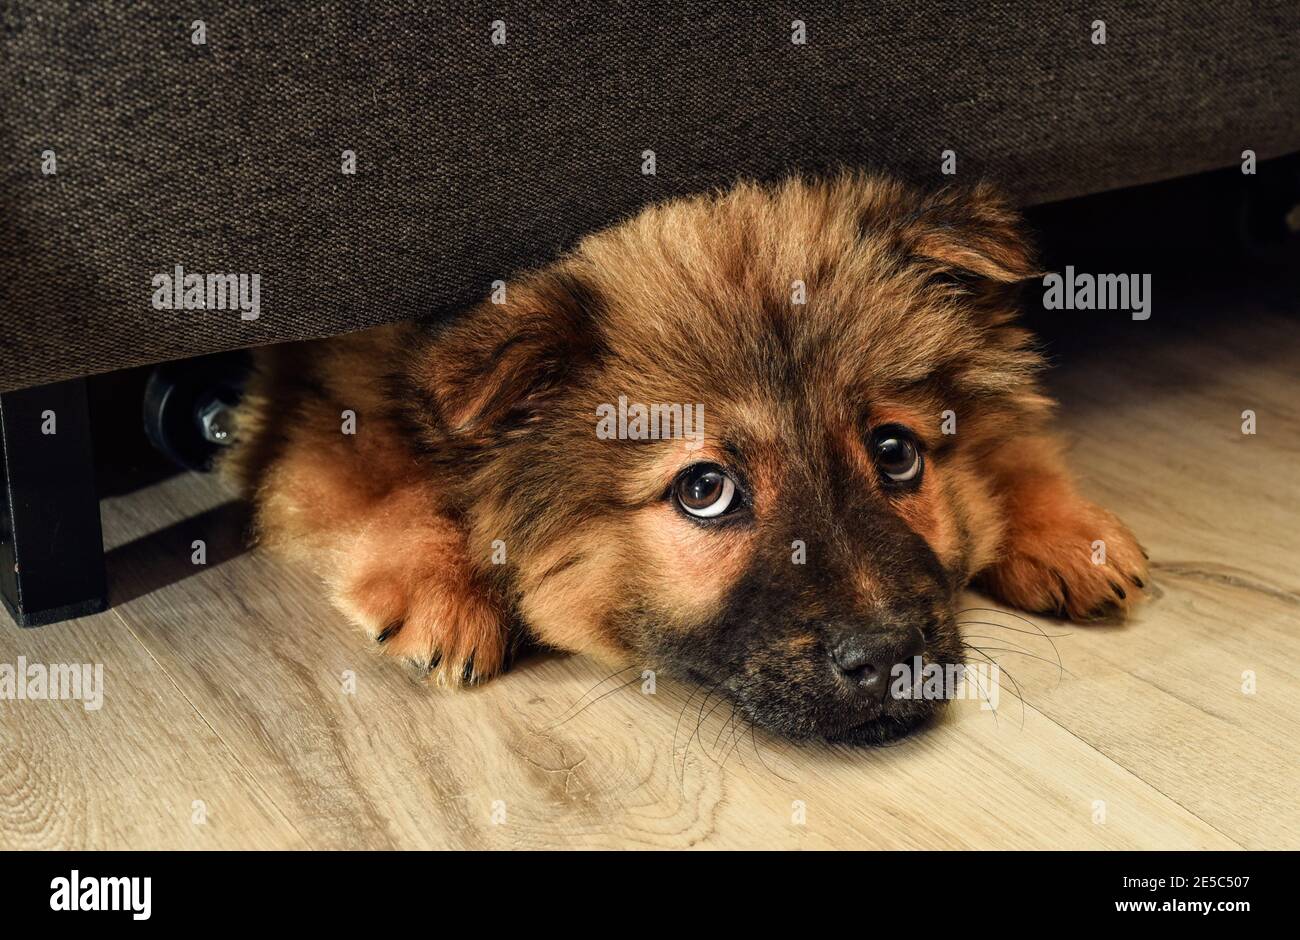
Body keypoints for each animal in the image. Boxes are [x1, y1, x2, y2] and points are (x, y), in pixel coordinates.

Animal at [223, 172, 1149, 748]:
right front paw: (445, 584)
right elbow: (384, 468)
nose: (893, 660)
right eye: (705, 489)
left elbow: (1008, 436)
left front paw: (1064, 529)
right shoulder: (334, 383)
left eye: (896, 453)